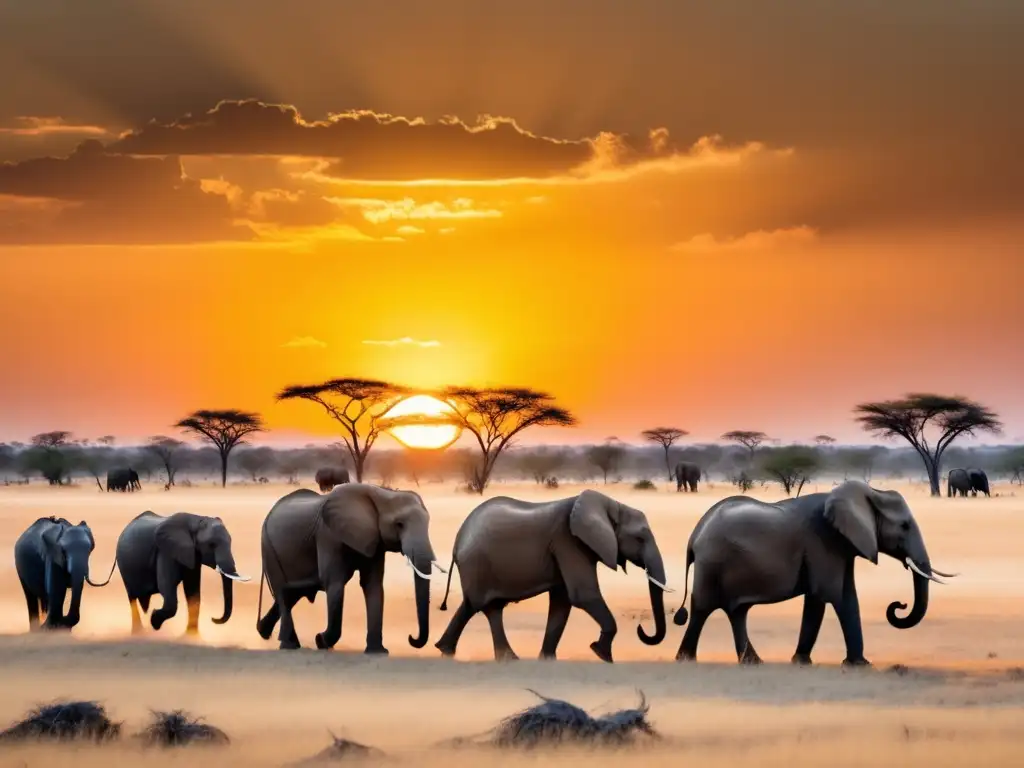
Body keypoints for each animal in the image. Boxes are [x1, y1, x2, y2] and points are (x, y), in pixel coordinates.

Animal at [111, 514, 248, 634]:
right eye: (211, 545)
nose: (213, 619)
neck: (196, 521)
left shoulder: (193, 555)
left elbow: (193, 592)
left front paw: (192, 636)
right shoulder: (165, 551)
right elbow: (166, 587)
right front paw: (154, 621)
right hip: (124, 566)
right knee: (132, 598)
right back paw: (138, 633)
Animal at [254, 483, 440, 651]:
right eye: (399, 524)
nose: (411, 637)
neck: (382, 494)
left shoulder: (376, 542)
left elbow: (373, 586)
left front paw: (377, 652)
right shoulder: (328, 536)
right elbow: (334, 584)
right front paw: (321, 641)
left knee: (292, 595)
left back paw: (264, 632)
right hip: (269, 549)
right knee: (283, 592)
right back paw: (289, 645)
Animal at [432, 489, 671, 663]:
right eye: (640, 538)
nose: (641, 629)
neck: (610, 504)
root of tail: (458, 541)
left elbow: (562, 602)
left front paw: (547, 659)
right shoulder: (568, 542)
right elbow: (582, 595)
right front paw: (601, 654)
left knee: (479, 606)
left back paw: (450, 651)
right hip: (477, 564)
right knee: (483, 606)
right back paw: (505, 658)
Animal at [675, 481, 954, 667]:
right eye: (904, 526)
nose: (898, 605)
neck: (870, 493)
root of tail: (694, 536)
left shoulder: (842, 545)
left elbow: (835, 596)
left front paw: (805, 662)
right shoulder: (823, 540)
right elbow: (831, 595)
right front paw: (857, 665)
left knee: (737, 612)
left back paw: (753, 662)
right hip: (712, 563)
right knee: (703, 608)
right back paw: (686, 660)